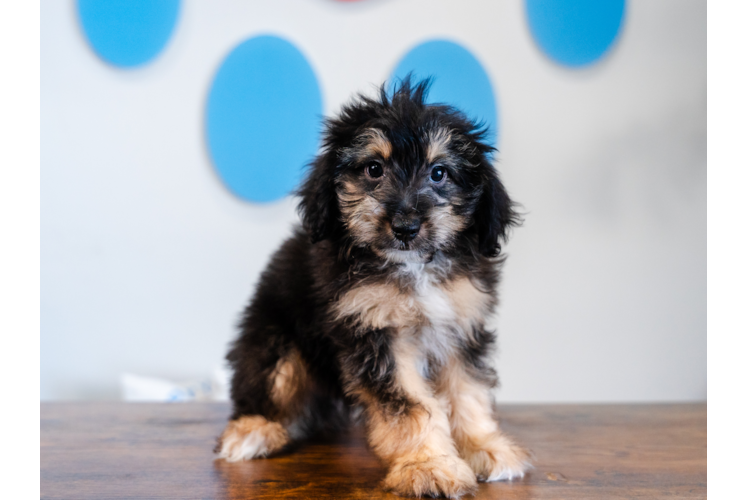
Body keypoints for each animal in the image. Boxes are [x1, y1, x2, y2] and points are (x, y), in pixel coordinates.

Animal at [216, 78, 532, 496]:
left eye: (439, 173)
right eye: (373, 168)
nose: (405, 226)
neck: (412, 266)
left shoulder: (460, 326)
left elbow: (468, 391)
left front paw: (483, 447)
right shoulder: (373, 332)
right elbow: (411, 404)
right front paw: (428, 466)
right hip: (275, 344)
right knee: (262, 385)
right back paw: (253, 430)